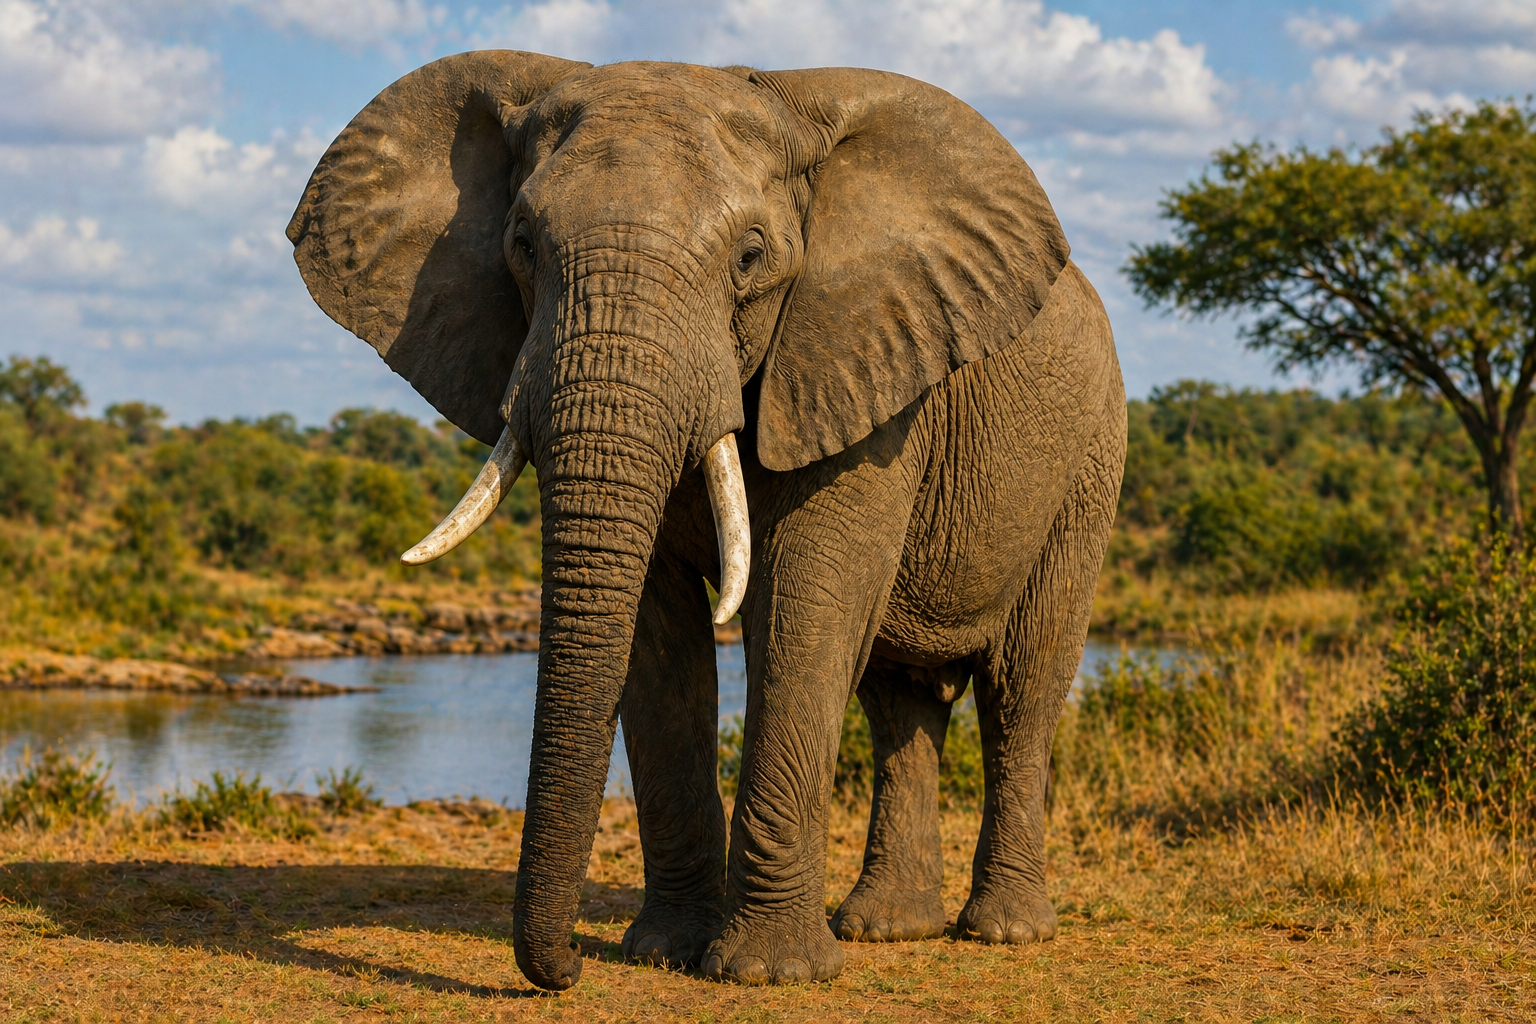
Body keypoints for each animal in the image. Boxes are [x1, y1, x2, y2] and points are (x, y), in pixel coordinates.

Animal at [288, 50, 1126, 989]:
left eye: (751, 256)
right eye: (523, 245)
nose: (564, 969)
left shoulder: (861, 364)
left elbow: (809, 602)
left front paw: (767, 972)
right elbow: (659, 634)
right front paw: (664, 952)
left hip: (1090, 460)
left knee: (1022, 683)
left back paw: (1003, 932)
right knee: (900, 698)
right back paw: (885, 930)